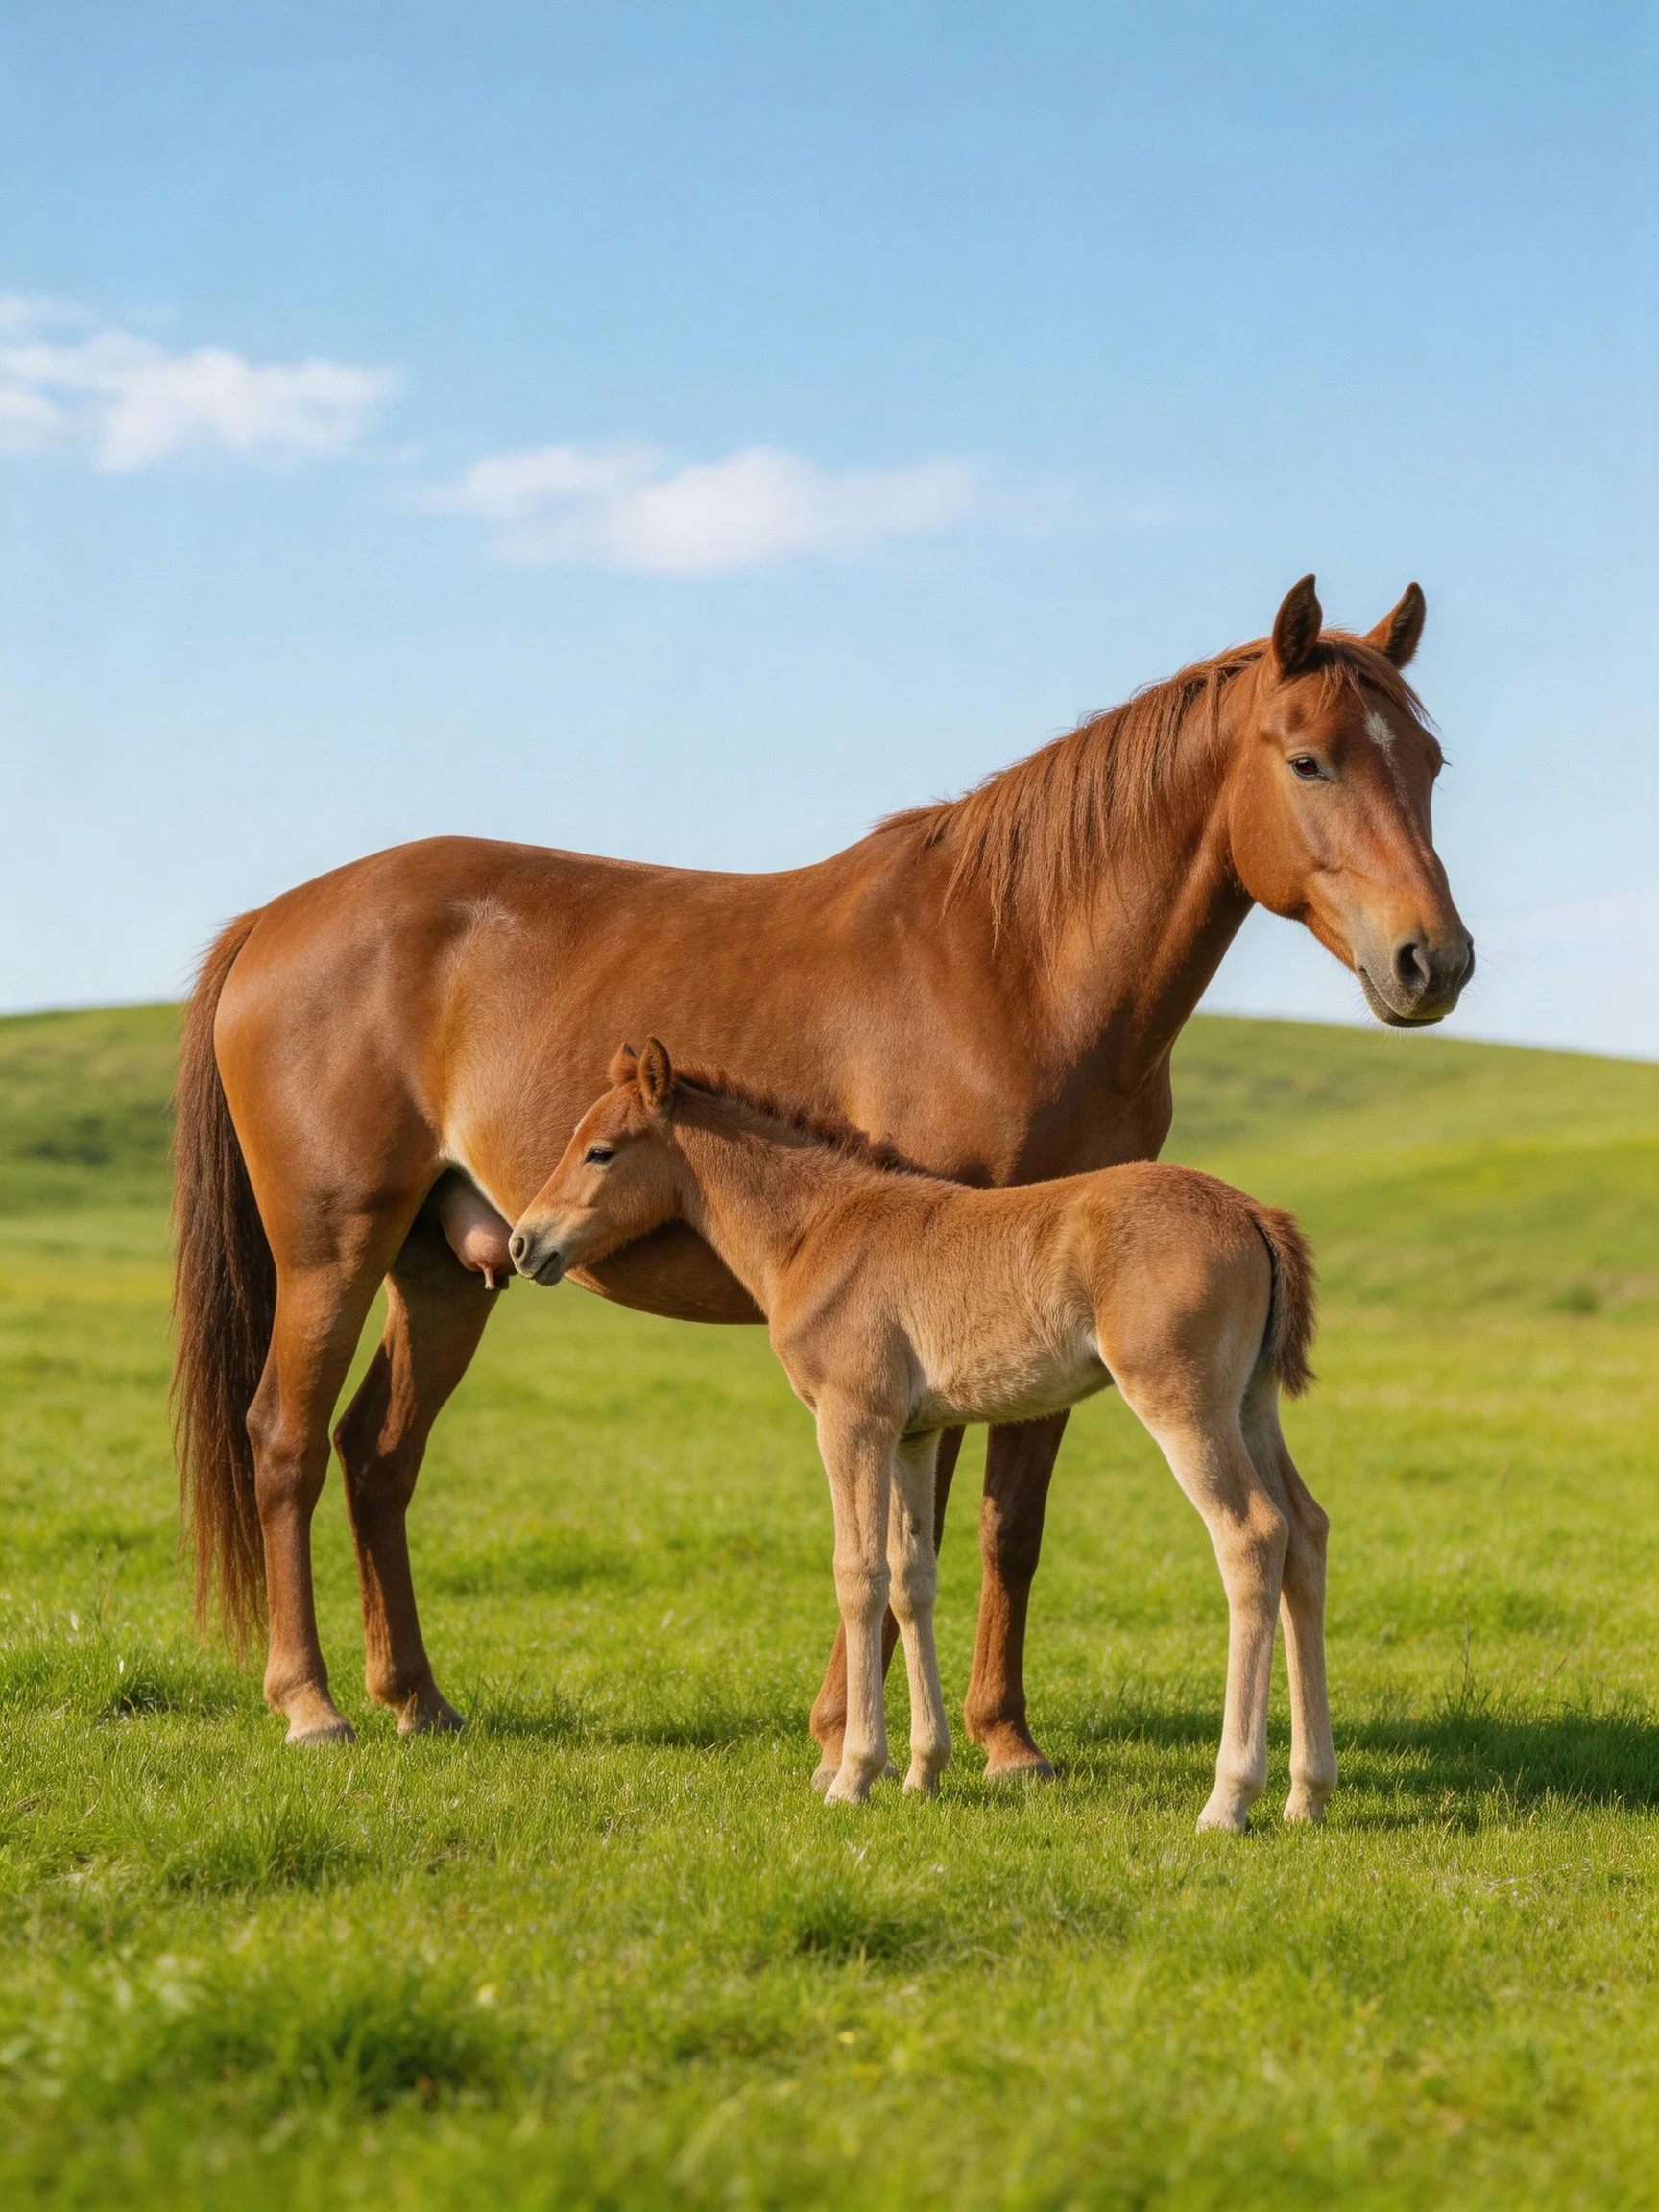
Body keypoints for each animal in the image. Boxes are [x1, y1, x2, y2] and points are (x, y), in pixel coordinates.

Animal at [509, 1039, 1327, 1831]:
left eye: (601, 1151)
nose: (523, 1244)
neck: (815, 1231)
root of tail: (1253, 1213)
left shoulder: (852, 1421)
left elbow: (859, 1575)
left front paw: (854, 1776)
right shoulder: (915, 1435)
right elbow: (913, 1578)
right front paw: (923, 1773)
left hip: (1183, 1404)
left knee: (1252, 1536)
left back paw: (1230, 1799)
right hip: (1250, 1408)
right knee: (1305, 1532)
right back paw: (1307, 1793)